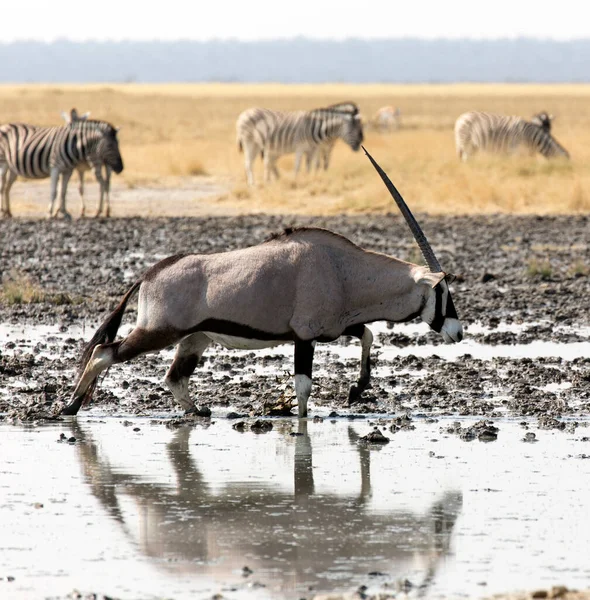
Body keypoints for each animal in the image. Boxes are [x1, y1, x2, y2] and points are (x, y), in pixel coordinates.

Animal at [237, 103, 366, 184]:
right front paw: (295, 180)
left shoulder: (313, 149)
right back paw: (253, 184)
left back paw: (267, 180)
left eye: (361, 127)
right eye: (353, 129)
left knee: (265, 163)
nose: (359, 144)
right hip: (249, 141)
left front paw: (309, 179)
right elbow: (298, 166)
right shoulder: (301, 147)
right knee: (249, 163)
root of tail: (243, 114)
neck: (316, 127)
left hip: (259, 145)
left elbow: (310, 166)